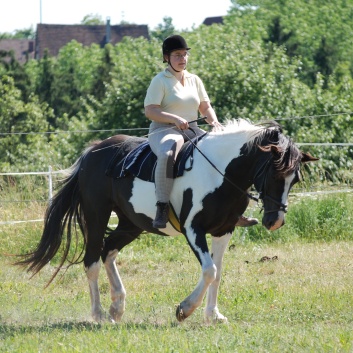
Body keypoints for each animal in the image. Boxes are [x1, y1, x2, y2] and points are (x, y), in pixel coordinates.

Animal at [15, 119, 316, 324]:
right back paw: (99, 313)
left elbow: (218, 272)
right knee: (91, 260)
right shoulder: (193, 230)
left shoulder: (224, 230)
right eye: (275, 174)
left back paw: (117, 307)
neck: (220, 173)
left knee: (108, 251)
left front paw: (213, 315)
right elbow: (209, 270)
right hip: (97, 215)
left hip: (131, 224)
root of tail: (92, 153)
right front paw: (185, 309)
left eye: (295, 179)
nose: (275, 221)